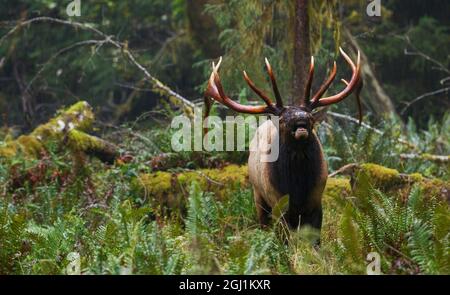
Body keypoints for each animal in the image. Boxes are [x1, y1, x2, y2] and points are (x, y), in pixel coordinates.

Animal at [204, 47, 362, 238]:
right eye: (282, 120)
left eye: (310, 117)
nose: (301, 121)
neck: (298, 187)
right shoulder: (278, 203)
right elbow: (285, 238)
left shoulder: (316, 200)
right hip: (258, 195)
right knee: (264, 224)